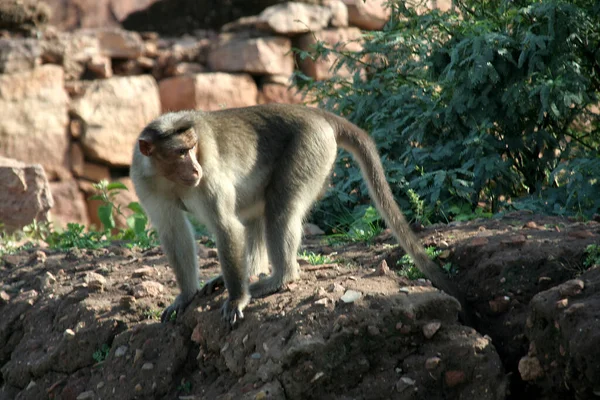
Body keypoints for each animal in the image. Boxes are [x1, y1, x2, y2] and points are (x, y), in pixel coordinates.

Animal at [131, 103, 464, 324]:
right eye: (180, 152)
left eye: (193, 148)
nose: (195, 169)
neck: (169, 177)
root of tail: (316, 114)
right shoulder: (144, 180)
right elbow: (174, 233)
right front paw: (186, 295)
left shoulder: (209, 174)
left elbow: (226, 228)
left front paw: (237, 298)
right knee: (256, 212)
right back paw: (252, 272)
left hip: (310, 148)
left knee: (279, 210)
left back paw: (279, 278)